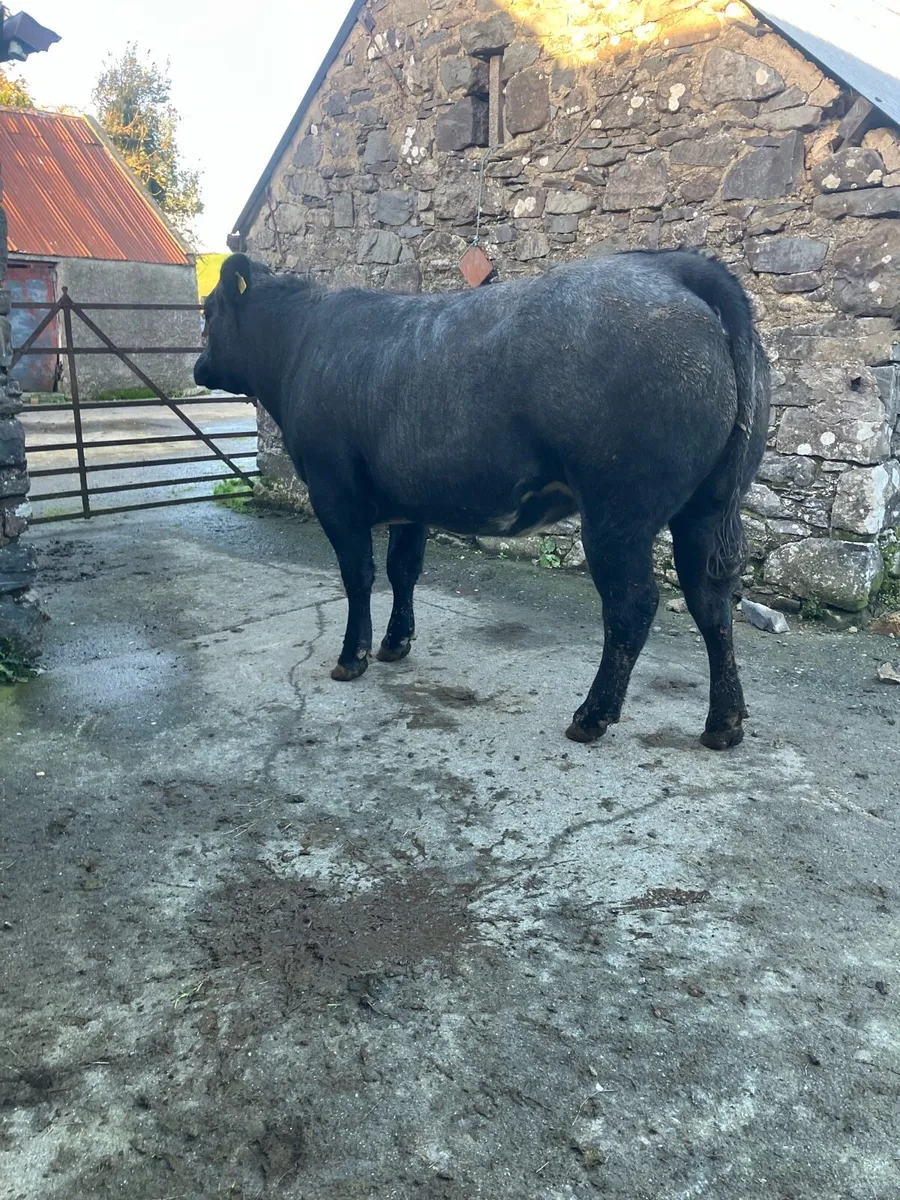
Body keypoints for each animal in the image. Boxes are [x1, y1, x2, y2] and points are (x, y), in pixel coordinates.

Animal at [195, 249, 769, 749]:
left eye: (208, 311)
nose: (198, 367)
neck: (302, 342)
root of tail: (673, 265)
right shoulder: (411, 502)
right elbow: (404, 570)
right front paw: (395, 643)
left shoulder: (333, 492)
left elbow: (358, 576)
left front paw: (352, 656)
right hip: (707, 507)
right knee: (711, 600)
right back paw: (724, 723)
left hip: (618, 510)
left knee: (633, 604)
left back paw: (592, 715)